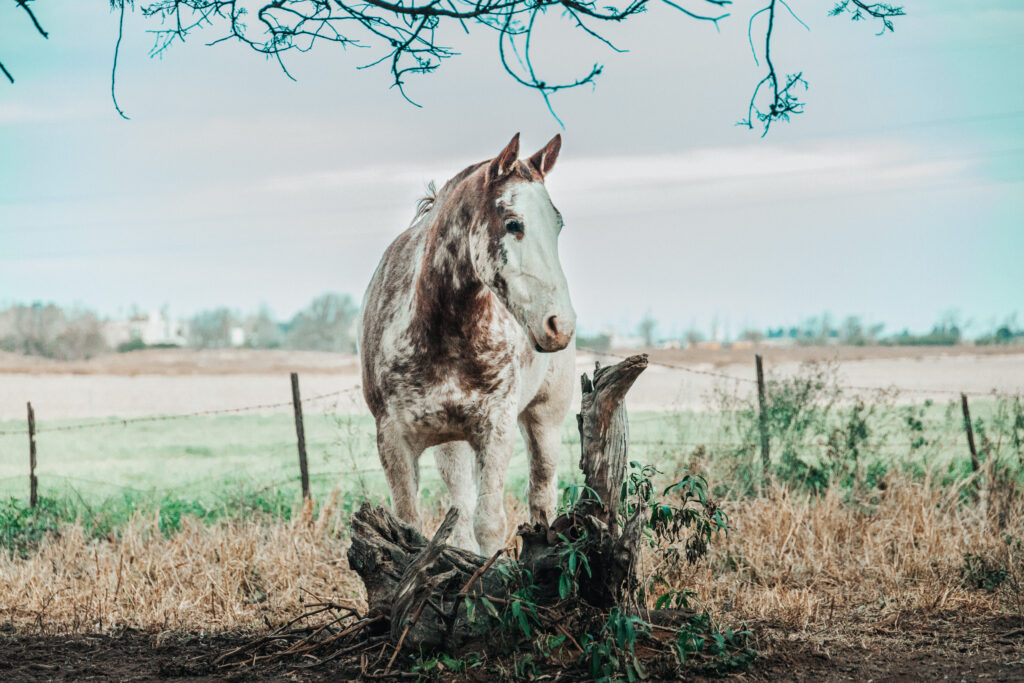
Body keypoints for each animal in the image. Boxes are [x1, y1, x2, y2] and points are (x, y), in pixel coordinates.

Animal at [360, 133, 576, 556]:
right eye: (513, 224)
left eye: (559, 225)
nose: (560, 325)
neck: (443, 335)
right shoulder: (393, 440)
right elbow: (412, 525)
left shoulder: (496, 429)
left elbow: (488, 524)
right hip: (452, 444)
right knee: (459, 506)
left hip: (544, 420)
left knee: (541, 497)